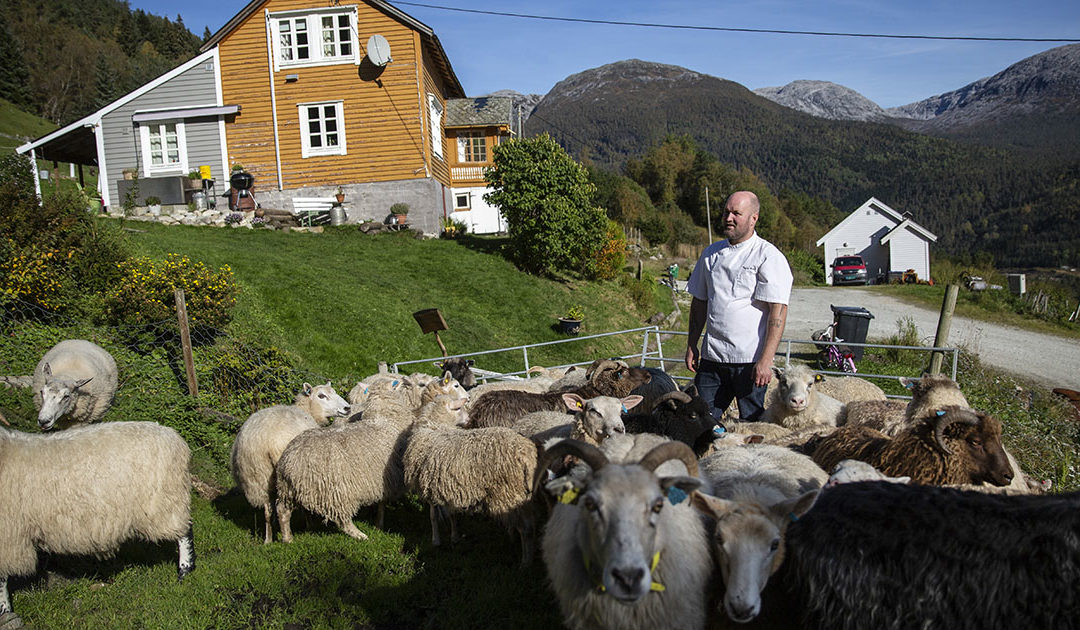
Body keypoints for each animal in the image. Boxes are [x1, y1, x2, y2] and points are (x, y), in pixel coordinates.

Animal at [0, 421, 192, 618]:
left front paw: (5, 610)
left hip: (163, 500)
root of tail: (173, 437)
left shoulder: (7, 534)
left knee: (184, 532)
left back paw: (184, 571)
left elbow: (2, 580)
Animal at [231, 382, 349, 544]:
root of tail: (263, 441)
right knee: (283, 507)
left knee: (267, 510)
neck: (307, 410)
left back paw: (268, 539)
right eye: (321, 395)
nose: (347, 408)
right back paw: (288, 537)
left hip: (259, 477)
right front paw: (310, 526)